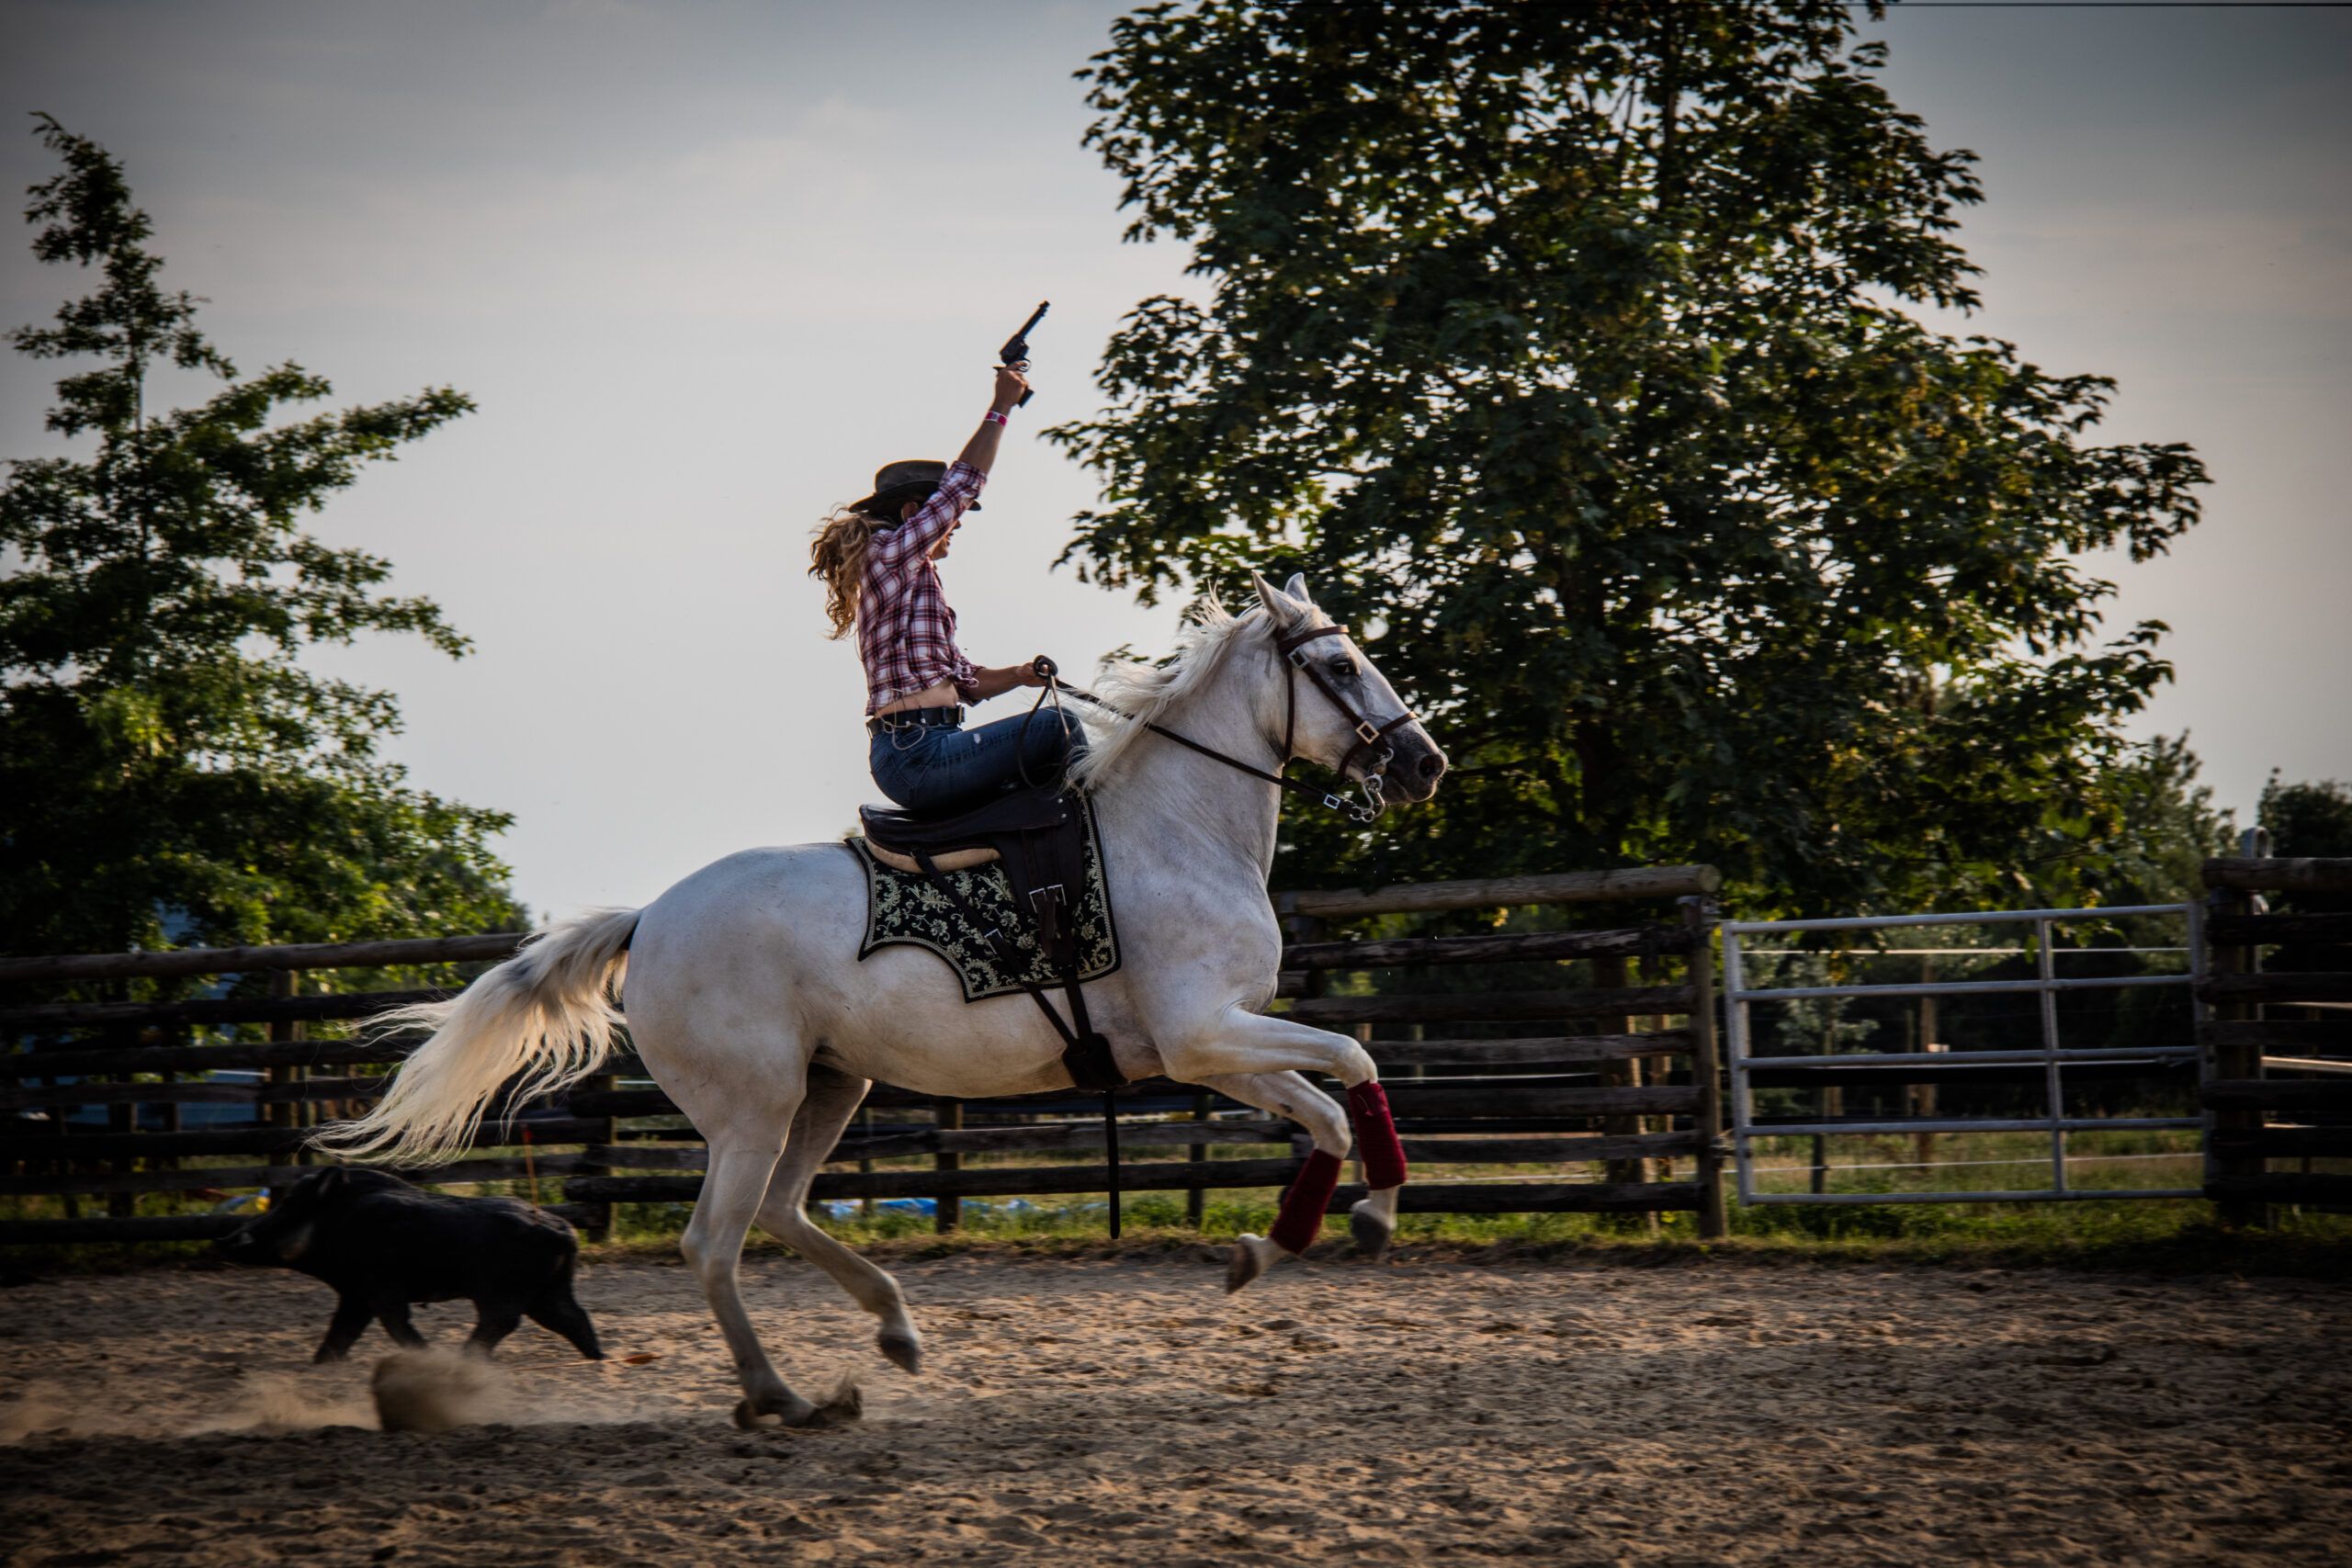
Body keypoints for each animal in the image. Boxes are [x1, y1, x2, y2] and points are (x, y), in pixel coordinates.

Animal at [317, 573, 1448, 1429]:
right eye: (1339, 666)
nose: (1423, 762)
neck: (1176, 831)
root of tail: (648, 920)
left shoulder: (1210, 1049)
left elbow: (1326, 1108)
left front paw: (1273, 1246)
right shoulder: (1204, 1034)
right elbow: (1355, 1063)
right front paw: (1370, 1215)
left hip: (830, 1086)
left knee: (782, 1210)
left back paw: (893, 1329)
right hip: (754, 1108)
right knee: (715, 1242)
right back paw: (781, 1394)